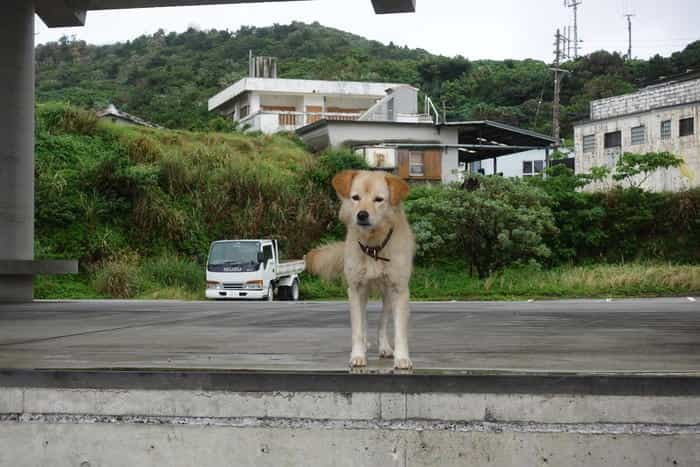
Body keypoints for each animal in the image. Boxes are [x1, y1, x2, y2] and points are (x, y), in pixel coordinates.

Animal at [308, 170, 416, 372]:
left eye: (379, 199)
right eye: (355, 198)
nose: (362, 215)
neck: (373, 246)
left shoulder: (399, 289)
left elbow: (400, 330)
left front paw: (402, 358)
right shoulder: (356, 289)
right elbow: (357, 328)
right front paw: (357, 355)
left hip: (387, 295)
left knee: (382, 322)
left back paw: (384, 347)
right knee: (363, 320)